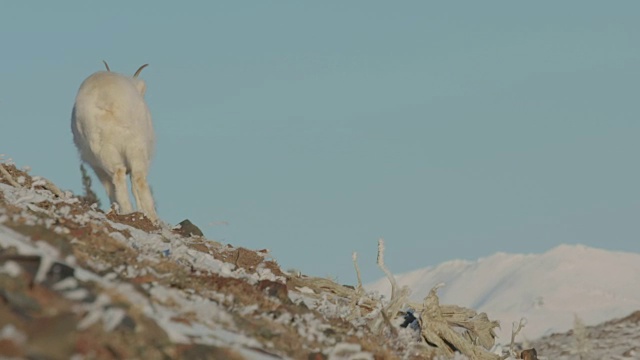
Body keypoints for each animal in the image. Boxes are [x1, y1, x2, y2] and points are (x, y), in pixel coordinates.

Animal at [71, 60, 158, 221]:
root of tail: (105, 98)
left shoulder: (96, 166)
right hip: (135, 146)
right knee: (137, 178)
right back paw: (152, 216)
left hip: (103, 150)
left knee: (117, 176)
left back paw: (126, 210)